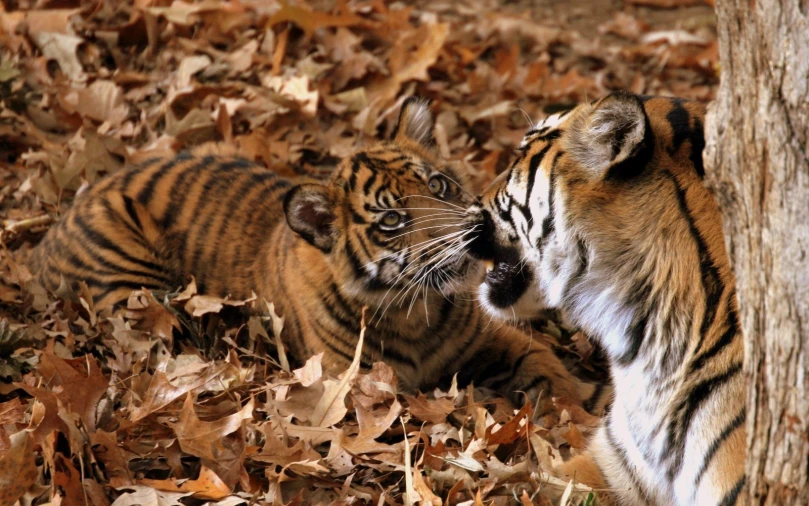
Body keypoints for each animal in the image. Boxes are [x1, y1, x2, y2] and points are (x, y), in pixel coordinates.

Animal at [26, 100, 588, 412]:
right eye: (392, 220)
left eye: (438, 185)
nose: (473, 230)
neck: (417, 312)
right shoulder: (358, 385)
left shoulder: (493, 340)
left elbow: (546, 365)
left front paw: (577, 412)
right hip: (132, 288)